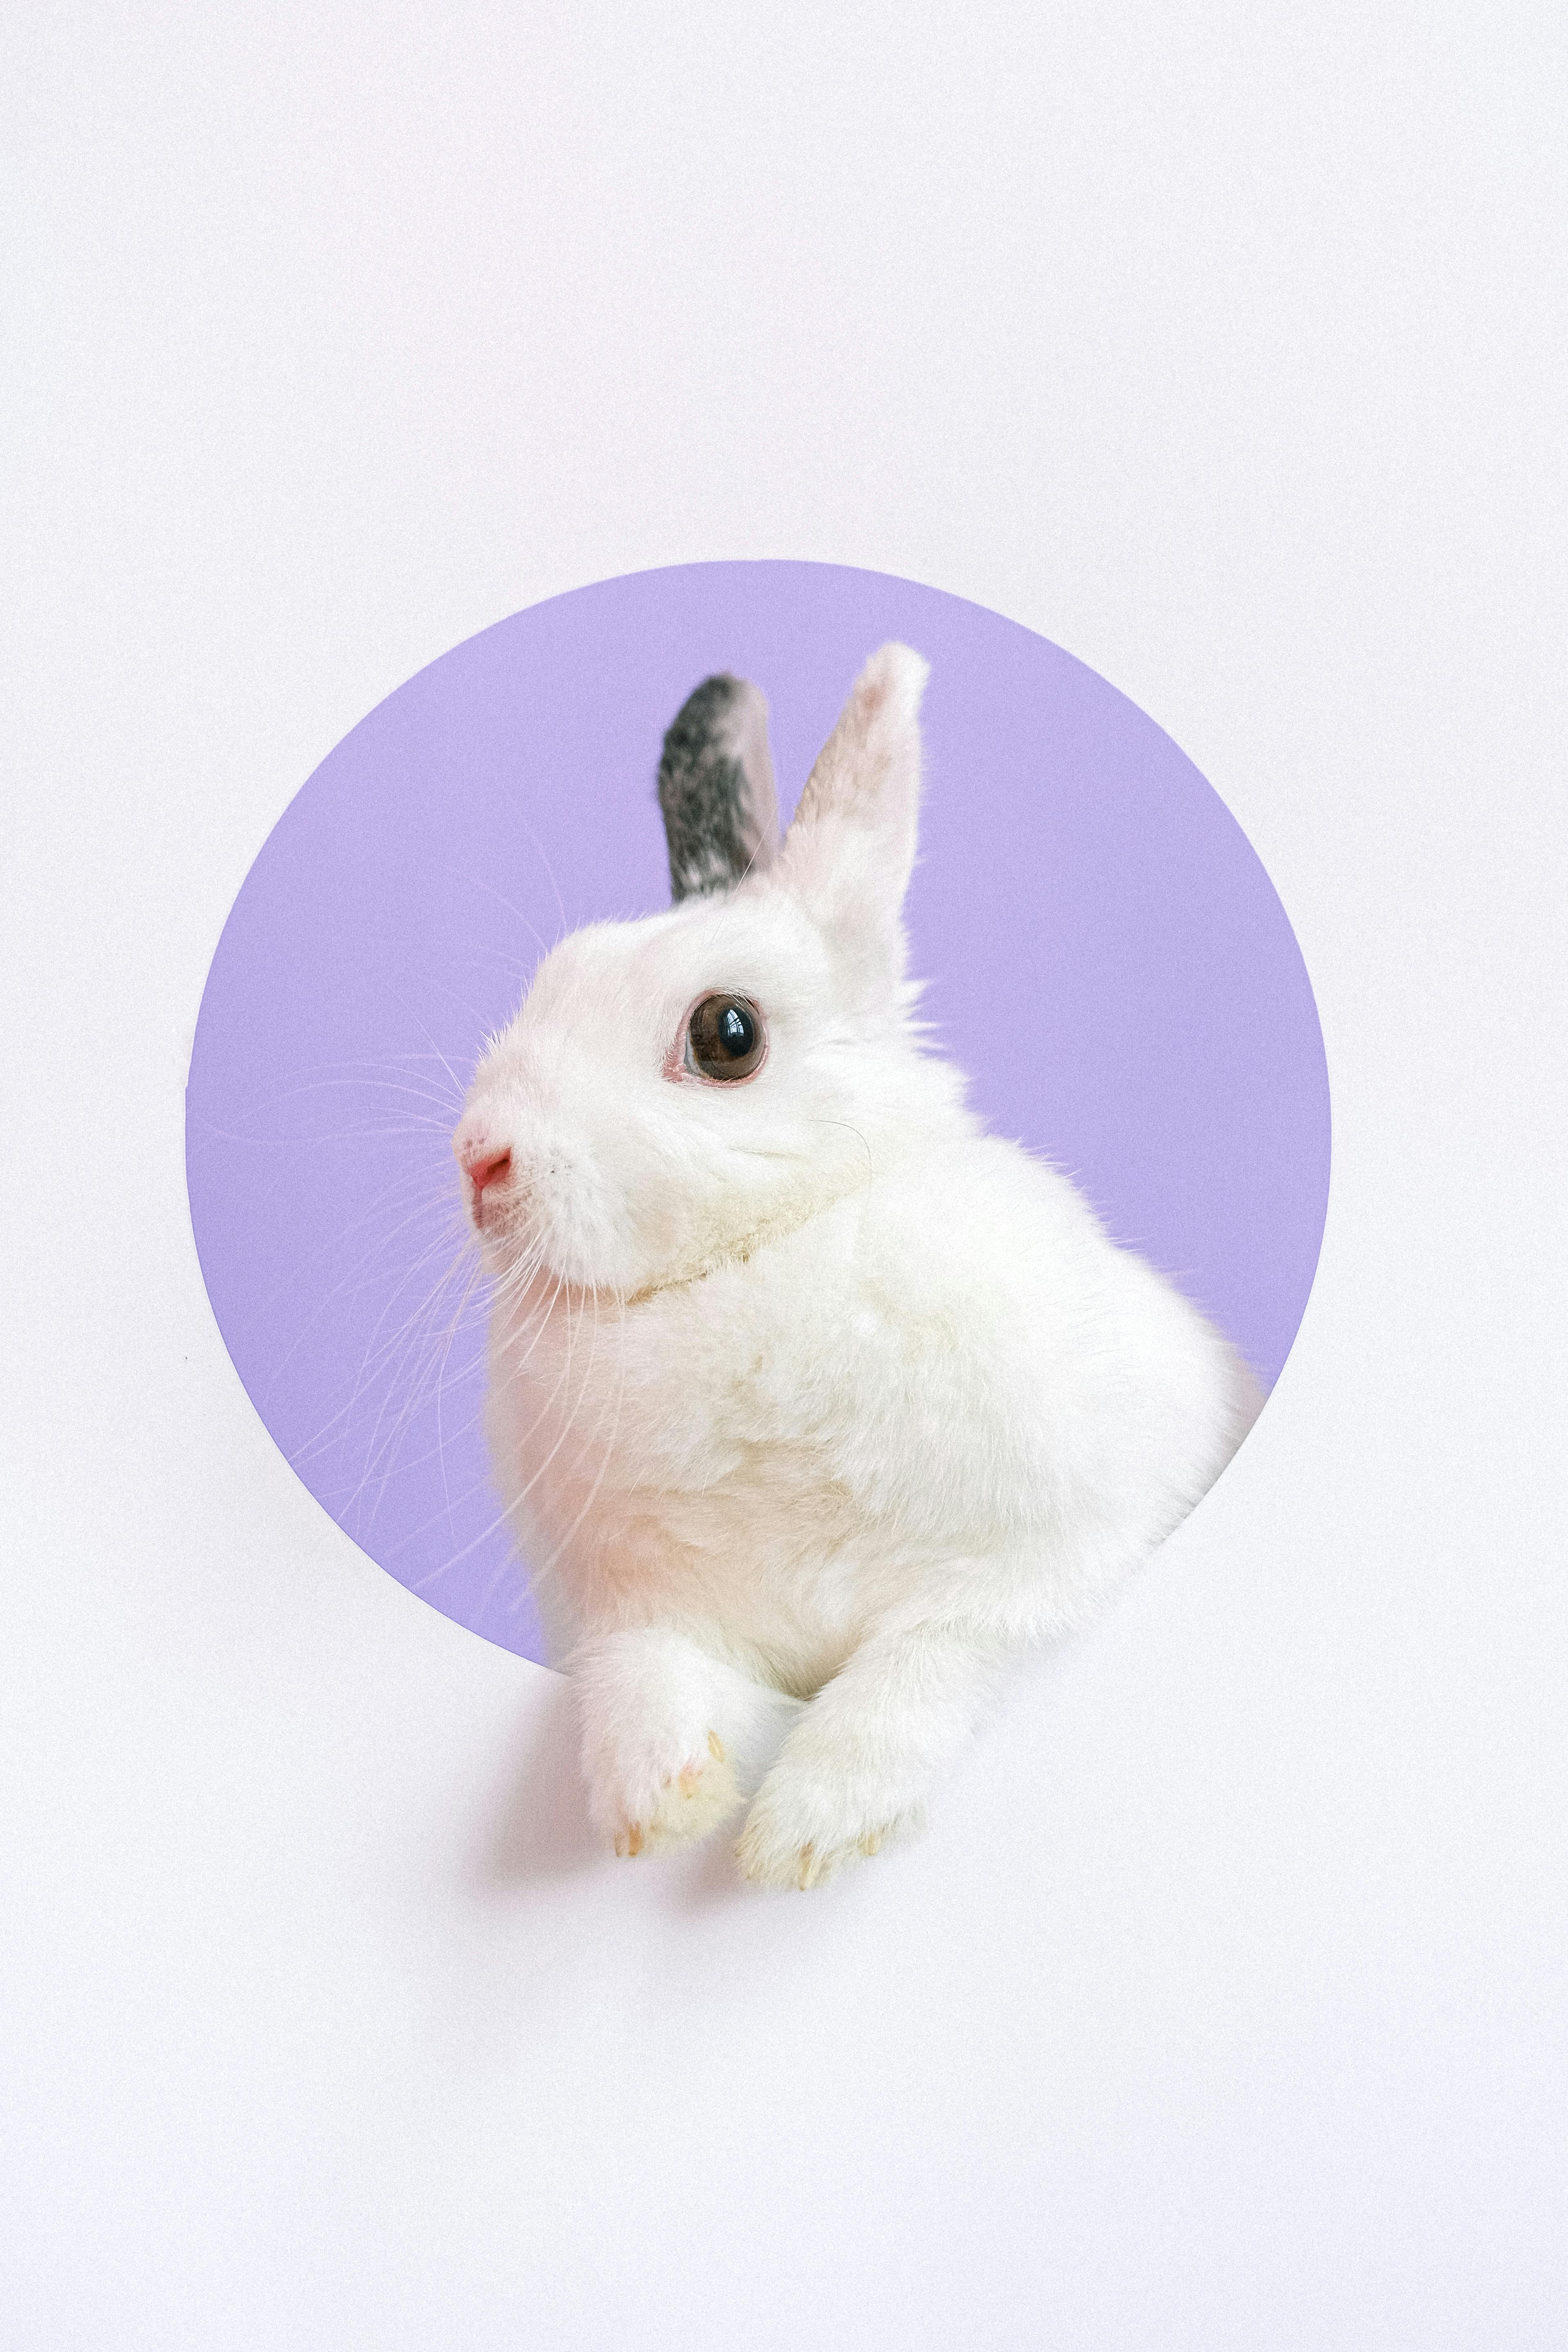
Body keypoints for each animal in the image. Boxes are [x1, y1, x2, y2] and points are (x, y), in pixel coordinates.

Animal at [452, 644, 1261, 1889]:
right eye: (555, 976)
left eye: (726, 1035)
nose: (479, 1157)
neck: (756, 1257)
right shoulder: (635, 1609)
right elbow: (645, 1674)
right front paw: (657, 1802)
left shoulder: (1048, 1560)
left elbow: (920, 1667)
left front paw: (807, 1828)